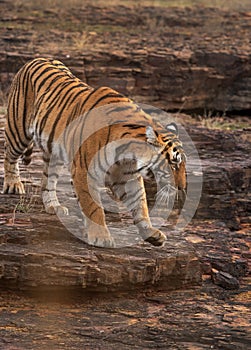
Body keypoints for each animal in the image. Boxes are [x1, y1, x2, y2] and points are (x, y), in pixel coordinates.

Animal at [1, 57, 186, 247]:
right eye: (173, 163)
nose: (182, 188)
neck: (127, 155)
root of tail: (37, 58)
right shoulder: (84, 171)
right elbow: (93, 206)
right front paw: (101, 237)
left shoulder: (127, 176)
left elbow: (140, 204)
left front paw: (150, 232)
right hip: (18, 131)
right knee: (9, 156)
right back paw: (13, 185)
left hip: (55, 153)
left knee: (48, 179)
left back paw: (54, 206)